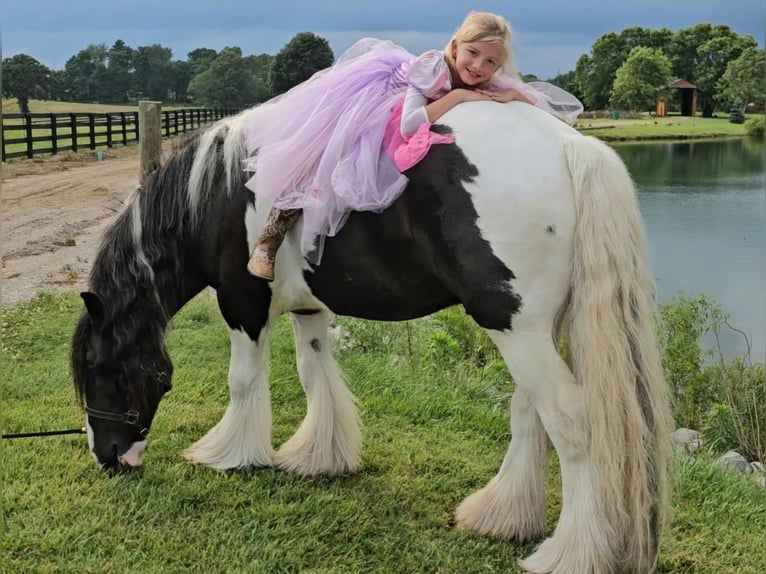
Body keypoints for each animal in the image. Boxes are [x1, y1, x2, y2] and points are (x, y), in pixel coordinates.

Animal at [70, 102, 672, 574]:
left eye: (98, 367)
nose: (107, 457)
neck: (218, 193)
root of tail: (572, 146)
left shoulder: (243, 305)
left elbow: (242, 381)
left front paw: (229, 454)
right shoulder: (307, 308)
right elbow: (314, 374)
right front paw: (320, 456)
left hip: (515, 329)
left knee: (572, 423)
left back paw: (572, 554)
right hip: (533, 329)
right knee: (529, 413)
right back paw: (502, 516)